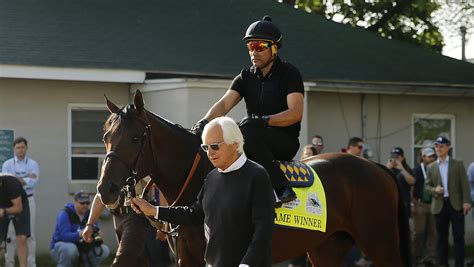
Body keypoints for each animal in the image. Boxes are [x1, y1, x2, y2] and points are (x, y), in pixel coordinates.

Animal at [97, 90, 412, 267]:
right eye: (105, 137)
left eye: (135, 138)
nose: (106, 189)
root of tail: (376, 167)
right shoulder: (188, 259)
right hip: (327, 248)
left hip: (380, 244)